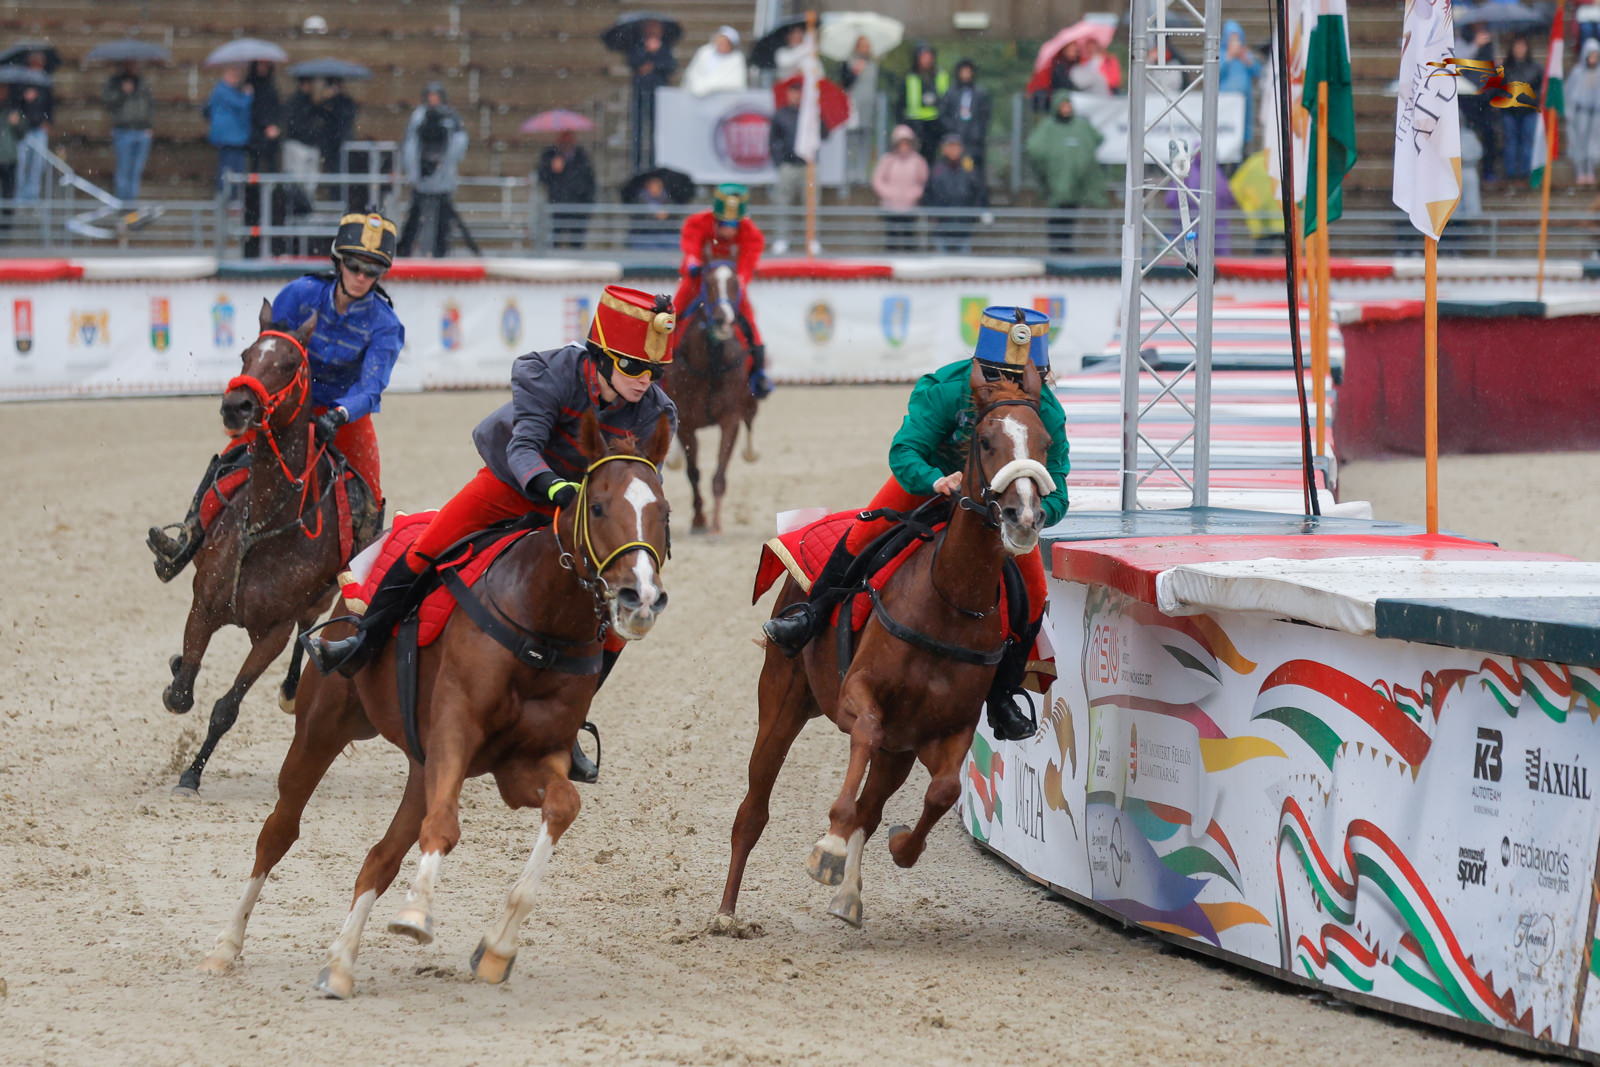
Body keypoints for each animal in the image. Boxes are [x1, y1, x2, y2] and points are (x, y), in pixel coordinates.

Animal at [162, 301, 372, 795]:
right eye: (246, 354)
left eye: (290, 363)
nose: (237, 405)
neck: (265, 525)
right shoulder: (203, 605)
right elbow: (182, 691)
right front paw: (178, 668)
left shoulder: (273, 632)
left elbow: (226, 708)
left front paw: (192, 774)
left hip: (320, 597)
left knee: (308, 631)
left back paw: (292, 690)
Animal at [198, 411, 673, 999]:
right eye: (601, 506)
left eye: (664, 513)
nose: (640, 598)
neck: (542, 624)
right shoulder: (455, 729)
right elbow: (445, 826)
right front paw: (417, 915)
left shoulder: (522, 764)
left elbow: (562, 805)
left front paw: (496, 948)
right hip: (322, 728)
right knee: (278, 833)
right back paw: (226, 947)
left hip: (420, 767)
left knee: (380, 857)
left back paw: (341, 963)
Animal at [660, 259, 759, 535]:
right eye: (708, 282)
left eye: (735, 283)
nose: (722, 318)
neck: (711, 363)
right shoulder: (686, 422)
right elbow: (693, 472)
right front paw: (699, 520)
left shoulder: (730, 418)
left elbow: (719, 472)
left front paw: (715, 523)